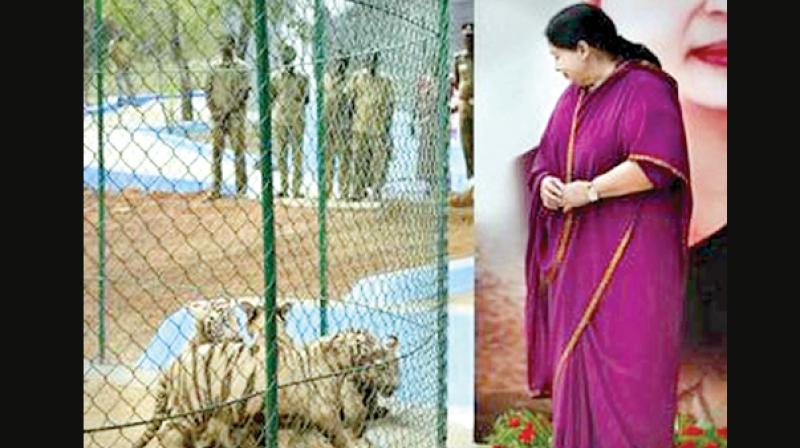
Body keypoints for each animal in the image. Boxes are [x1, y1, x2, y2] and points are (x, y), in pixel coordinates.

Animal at [135, 298, 406, 448]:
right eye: (365, 342)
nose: (395, 388)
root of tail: (173, 364)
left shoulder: (298, 421)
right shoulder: (326, 415)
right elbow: (341, 437)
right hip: (191, 408)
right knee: (168, 435)